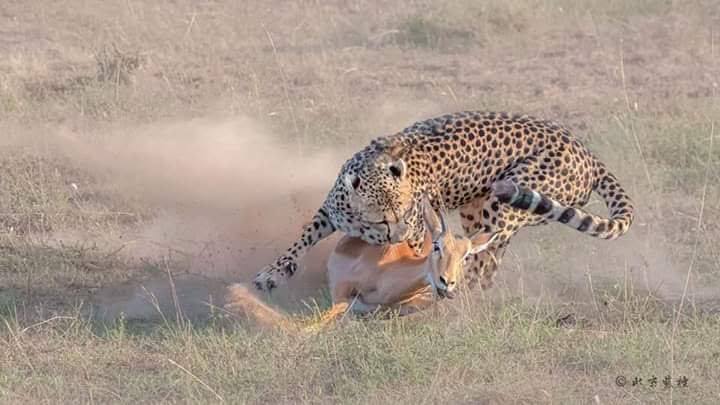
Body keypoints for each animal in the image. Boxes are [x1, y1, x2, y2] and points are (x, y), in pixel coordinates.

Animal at [224, 198, 497, 330]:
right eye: (437, 247)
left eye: (466, 256)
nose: (447, 282)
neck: (382, 277)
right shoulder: (340, 295)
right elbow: (308, 325)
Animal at [251, 111, 634, 293]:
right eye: (383, 219)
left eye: (408, 213)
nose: (399, 236)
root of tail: (585, 150)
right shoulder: (331, 214)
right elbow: (301, 239)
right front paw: (272, 273)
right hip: (478, 207)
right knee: (486, 263)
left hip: (503, 204)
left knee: (481, 263)